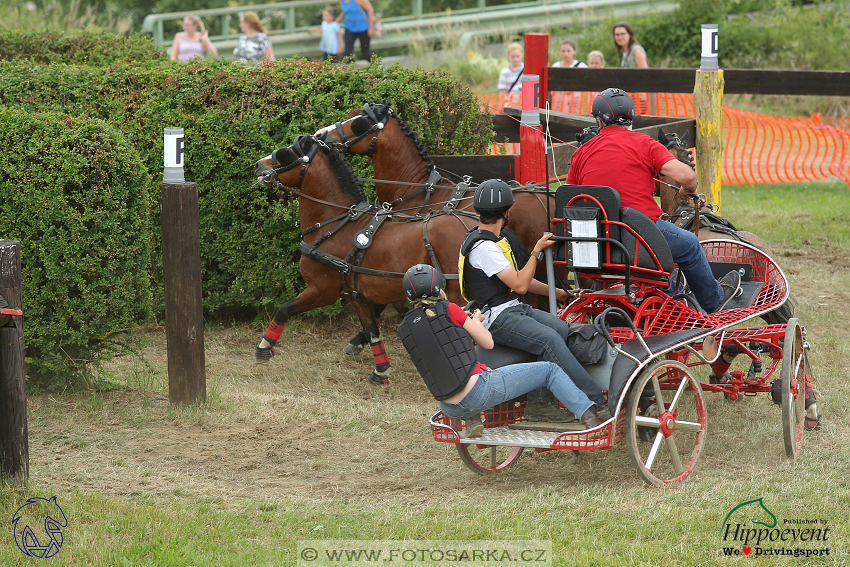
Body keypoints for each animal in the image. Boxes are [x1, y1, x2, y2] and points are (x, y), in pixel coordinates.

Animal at [252, 133, 468, 384]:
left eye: (287, 153)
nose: (258, 165)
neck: (338, 223)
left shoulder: (322, 290)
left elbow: (283, 309)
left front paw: (264, 347)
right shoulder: (357, 295)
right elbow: (372, 331)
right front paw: (381, 370)